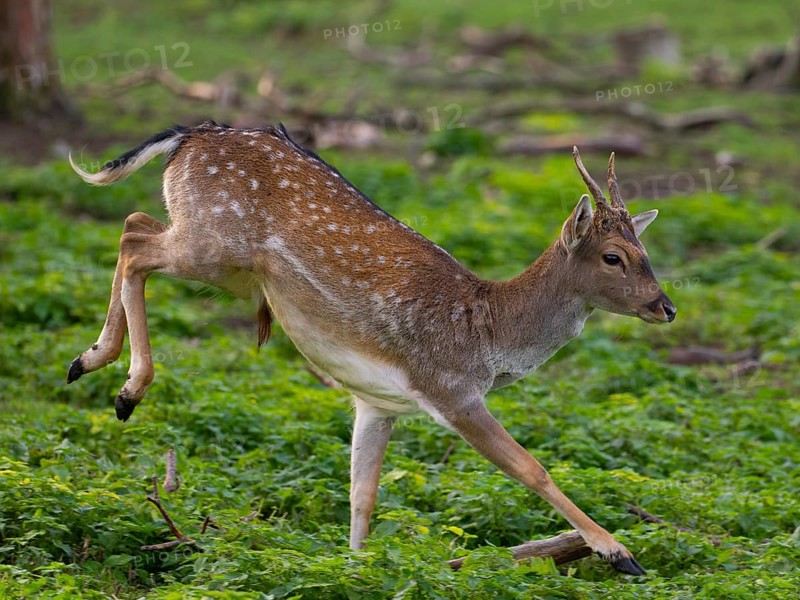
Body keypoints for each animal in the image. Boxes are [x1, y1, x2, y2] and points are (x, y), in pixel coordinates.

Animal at [66, 121, 675, 576]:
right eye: (614, 257)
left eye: (646, 251)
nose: (666, 307)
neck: (488, 335)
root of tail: (188, 136)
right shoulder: (451, 391)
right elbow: (532, 468)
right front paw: (619, 552)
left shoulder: (378, 403)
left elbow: (363, 493)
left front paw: (355, 567)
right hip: (215, 247)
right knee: (136, 243)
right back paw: (126, 388)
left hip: (220, 259)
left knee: (134, 223)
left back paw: (86, 361)